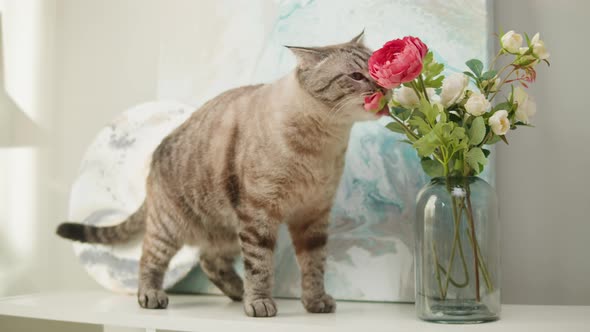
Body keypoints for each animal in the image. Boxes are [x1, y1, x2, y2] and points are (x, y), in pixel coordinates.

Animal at [56, 31, 388, 320]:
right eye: (357, 76)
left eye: (378, 71)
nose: (384, 89)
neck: (324, 141)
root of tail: (156, 153)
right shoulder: (259, 214)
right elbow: (260, 266)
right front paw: (261, 304)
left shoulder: (313, 215)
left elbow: (314, 266)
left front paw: (315, 302)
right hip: (173, 227)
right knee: (150, 257)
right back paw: (152, 296)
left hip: (227, 228)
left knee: (209, 261)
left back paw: (238, 293)